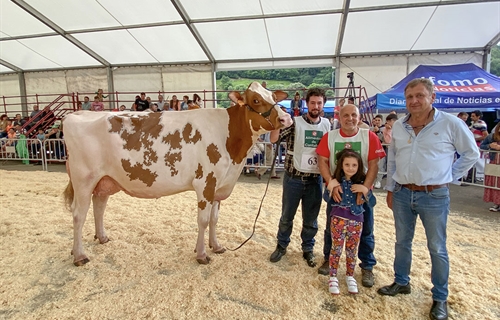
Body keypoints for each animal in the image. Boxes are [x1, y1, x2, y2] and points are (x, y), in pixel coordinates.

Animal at [62, 82, 292, 264]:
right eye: (255, 100)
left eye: (273, 97)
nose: (286, 119)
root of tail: (75, 115)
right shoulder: (206, 183)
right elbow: (203, 220)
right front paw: (201, 254)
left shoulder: (219, 186)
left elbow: (214, 219)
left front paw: (216, 246)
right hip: (83, 179)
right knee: (78, 214)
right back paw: (79, 255)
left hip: (104, 180)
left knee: (99, 207)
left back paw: (102, 237)